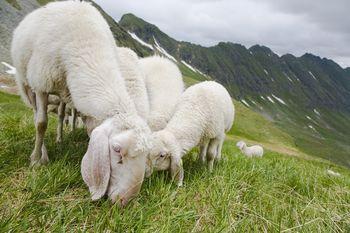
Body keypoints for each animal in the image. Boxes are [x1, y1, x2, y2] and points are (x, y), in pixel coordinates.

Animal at [10, 1, 150, 206]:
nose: (126, 200)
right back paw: (42, 152)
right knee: (37, 116)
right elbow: (41, 123)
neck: (88, 47)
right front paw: (36, 160)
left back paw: (60, 138)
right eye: (117, 150)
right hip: (27, 83)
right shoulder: (42, 82)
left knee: (61, 115)